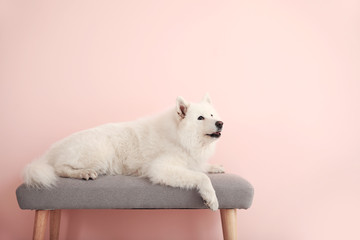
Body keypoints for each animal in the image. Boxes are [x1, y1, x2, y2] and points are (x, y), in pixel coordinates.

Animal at [23, 94, 225, 210]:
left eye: (212, 115)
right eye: (200, 118)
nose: (220, 123)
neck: (181, 136)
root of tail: (53, 149)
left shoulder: (193, 160)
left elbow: (202, 168)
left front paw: (216, 167)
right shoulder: (162, 169)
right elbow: (201, 177)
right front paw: (211, 197)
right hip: (101, 151)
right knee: (59, 168)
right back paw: (84, 173)